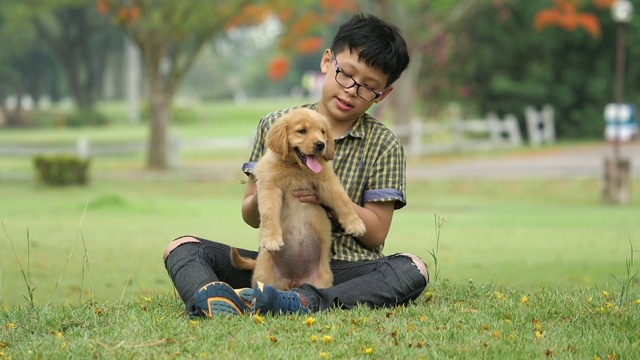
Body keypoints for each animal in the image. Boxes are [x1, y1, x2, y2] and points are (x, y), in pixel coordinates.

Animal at [232, 107, 368, 290]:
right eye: (302, 131)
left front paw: (355, 224)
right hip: (265, 278)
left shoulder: (326, 180)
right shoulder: (269, 185)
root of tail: (294, 280)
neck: (296, 168)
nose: (321, 144)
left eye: (322, 131)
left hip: (322, 281)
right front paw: (271, 239)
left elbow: (342, 199)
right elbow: (269, 212)